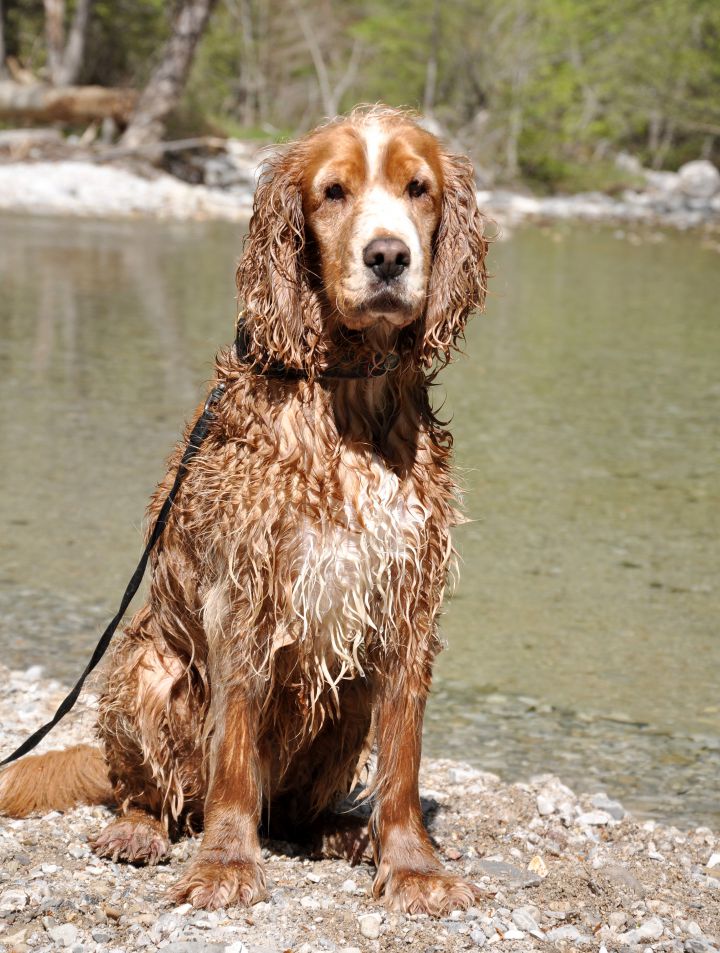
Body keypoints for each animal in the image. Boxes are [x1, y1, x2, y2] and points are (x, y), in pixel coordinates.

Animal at [0, 104, 490, 916]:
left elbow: (405, 762)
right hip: (145, 667)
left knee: (293, 810)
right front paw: (227, 862)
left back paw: (339, 832)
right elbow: (231, 752)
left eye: (417, 188)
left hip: (349, 696)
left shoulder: (407, 602)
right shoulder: (243, 593)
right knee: (156, 792)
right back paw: (140, 830)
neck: (348, 395)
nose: (389, 257)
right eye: (332, 192)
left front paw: (411, 863)